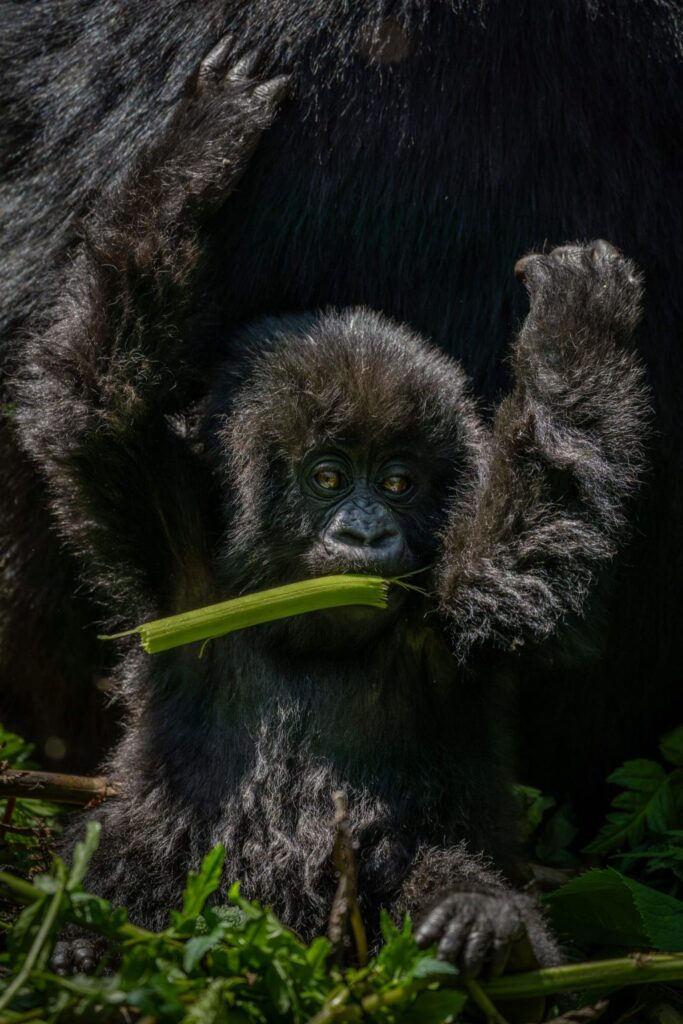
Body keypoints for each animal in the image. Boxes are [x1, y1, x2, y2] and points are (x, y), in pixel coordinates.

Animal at [14, 45, 649, 975]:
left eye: (397, 484)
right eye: (325, 477)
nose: (364, 532)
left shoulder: (446, 618)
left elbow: (532, 529)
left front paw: (573, 328)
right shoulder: (179, 565)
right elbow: (95, 394)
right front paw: (196, 155)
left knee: (442, 880)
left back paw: (482, 926)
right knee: (120, 853)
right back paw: (76, 942)